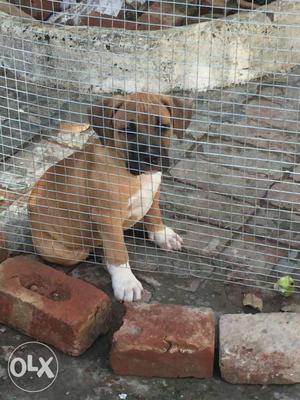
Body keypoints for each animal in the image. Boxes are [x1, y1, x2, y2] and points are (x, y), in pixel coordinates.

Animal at [28, 93, 192, 300]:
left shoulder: (154, 192)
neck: (133, 175)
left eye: (163, 127)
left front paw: (162, 234)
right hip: (60, 251)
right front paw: (126, 282)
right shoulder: (107, 216)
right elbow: (118, 251)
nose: (151, 158)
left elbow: (154, 213)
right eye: (128, 130)